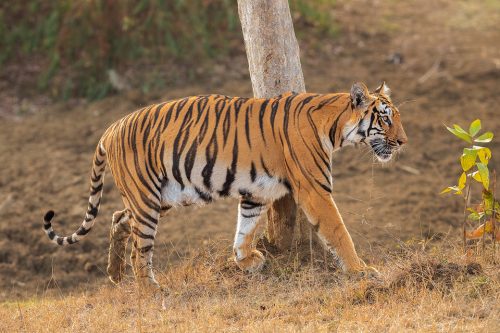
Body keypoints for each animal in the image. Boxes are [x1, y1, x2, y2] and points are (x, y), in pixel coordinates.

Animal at [44, 81, 406, 290]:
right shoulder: (315, 189)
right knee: (139, 249)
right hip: (146, 199)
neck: (334, 125)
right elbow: (338, 231)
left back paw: (115, 274)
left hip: (160, 196)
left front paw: (246, 260)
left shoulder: (257, 192)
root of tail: (110, 128)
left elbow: (245, 228)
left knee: (118, 219)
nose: (403, 141)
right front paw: (362, 271)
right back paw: (149, 290)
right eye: (385, 118)